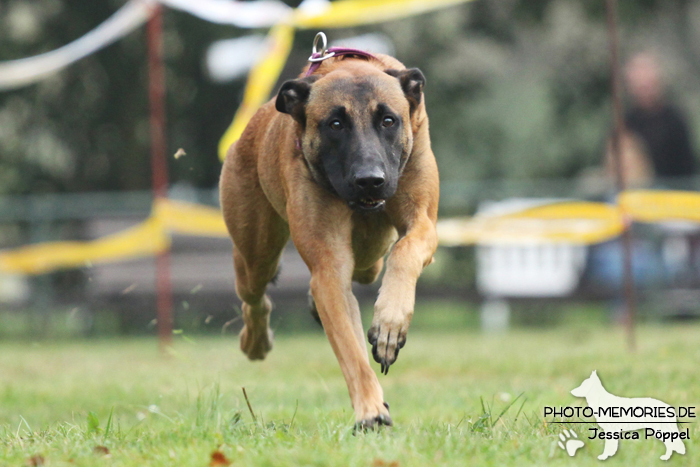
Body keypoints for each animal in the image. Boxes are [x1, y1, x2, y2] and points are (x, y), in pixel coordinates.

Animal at [219, 45, 438, 430]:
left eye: (389, 121)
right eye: (336, 124)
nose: (370, 180)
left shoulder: (423, 221)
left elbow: (406, 249)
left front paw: (390, 322)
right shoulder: (329, 269)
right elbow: (350, 348)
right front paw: (370, 409)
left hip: (370, 249)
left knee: (370, 265)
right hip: (256, 253)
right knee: (254, 293)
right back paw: (255, 341)